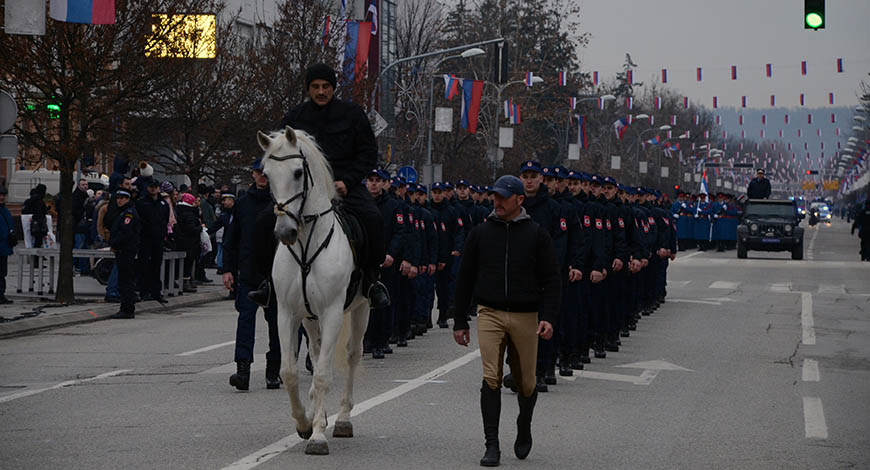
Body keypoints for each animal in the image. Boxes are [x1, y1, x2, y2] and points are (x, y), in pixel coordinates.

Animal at [255, 126, 372, 456]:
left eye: (298, 172)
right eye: (267, 174)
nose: (285, 232)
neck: (307, 244)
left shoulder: (332, 313)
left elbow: (321, 374)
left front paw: (318, 435)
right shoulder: (286, 313)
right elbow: (289, 372)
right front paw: (304, 423)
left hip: (361, 308)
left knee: (352, 355)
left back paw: (342, 419)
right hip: (310, 319)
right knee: (319, 352)